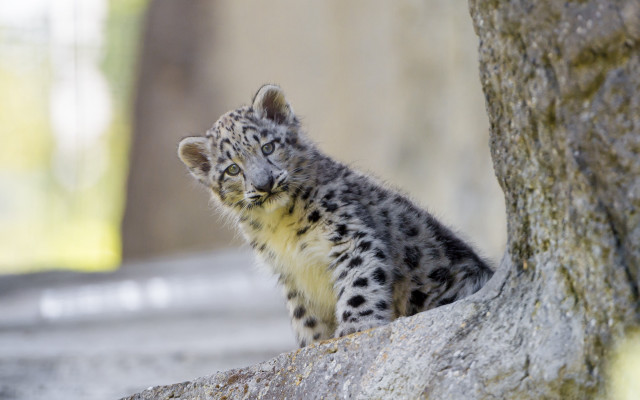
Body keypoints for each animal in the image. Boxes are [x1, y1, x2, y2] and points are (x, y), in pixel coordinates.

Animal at [178, 84, 493, 347]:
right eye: (232, 169)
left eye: (268, 147)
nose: (264, 183)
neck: (279, 227)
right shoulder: (291, 278)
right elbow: (305, 318)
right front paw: (313, 343)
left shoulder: (349, 235)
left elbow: (358, 282)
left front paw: (355, 327)